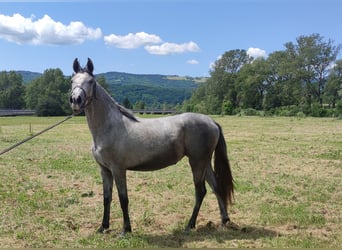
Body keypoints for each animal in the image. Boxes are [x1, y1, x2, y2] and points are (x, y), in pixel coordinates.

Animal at [70, 58, 235, 234]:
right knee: (216, 188)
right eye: (72, 80)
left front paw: (126, 230)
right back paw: (224, 220)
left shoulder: (118, 169)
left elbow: (123, 199)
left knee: (201, 192)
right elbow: (107, 198)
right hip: (205, 163)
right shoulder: (105, 170)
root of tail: (212, 122)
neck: (109, 127)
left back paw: (190, 225)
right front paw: (103, 227)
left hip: (197, 162)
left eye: (91, 81)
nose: (76, 100)